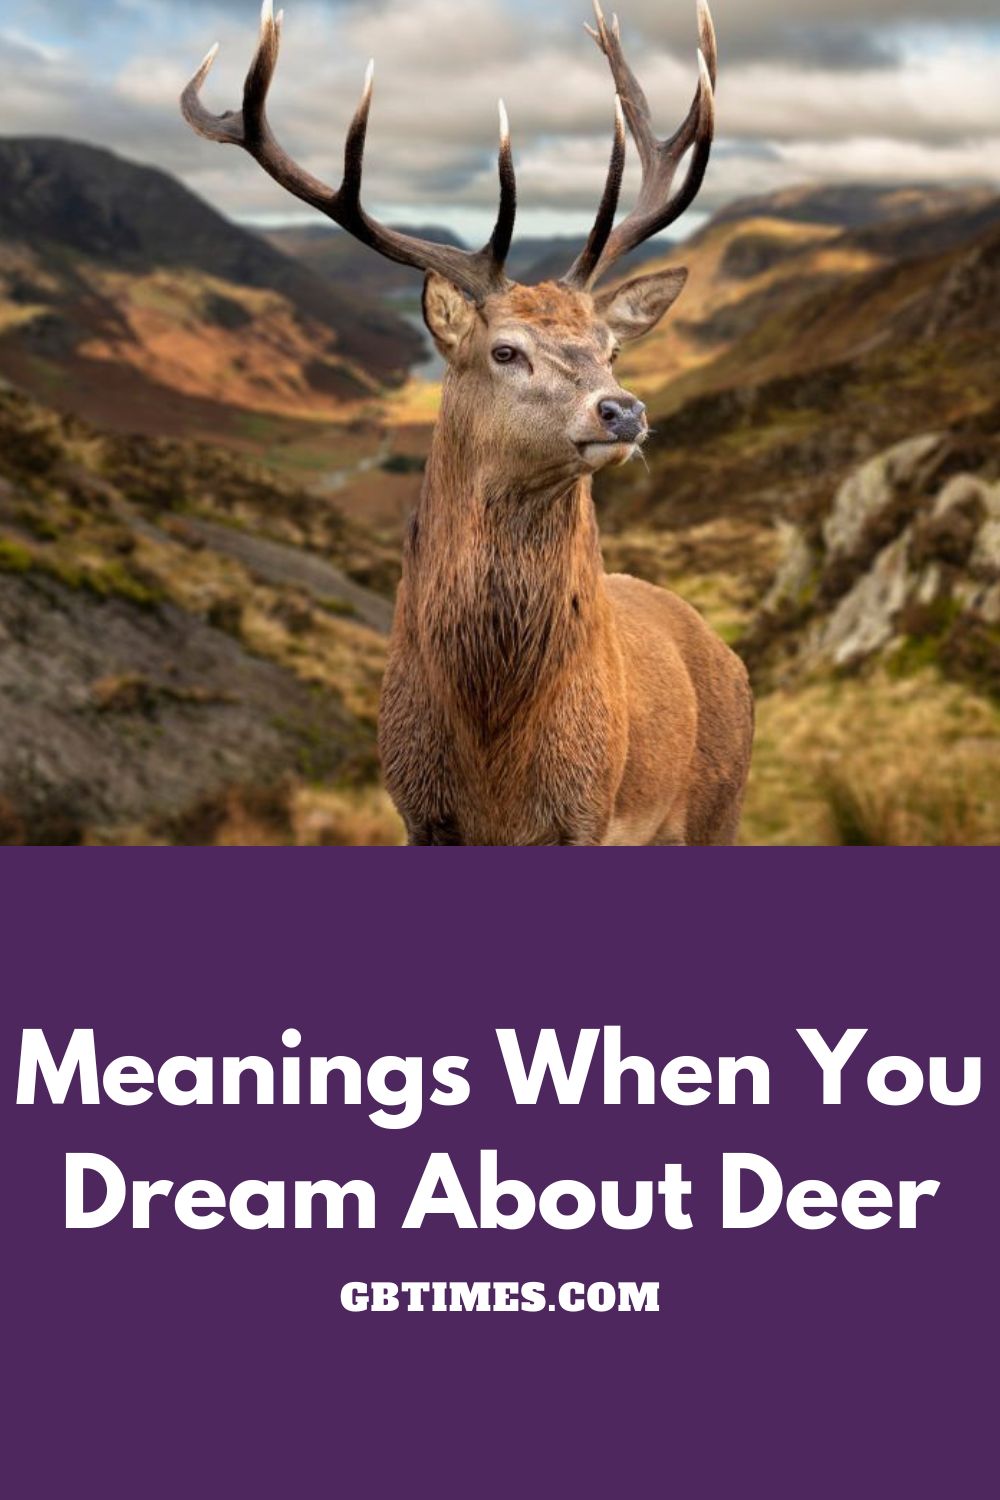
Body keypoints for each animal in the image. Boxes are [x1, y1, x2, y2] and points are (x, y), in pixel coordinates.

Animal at [183, 0, 753, 846]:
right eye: (505, 350)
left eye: (612, 347)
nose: (624, 409)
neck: (492, 757)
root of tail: (725, 652)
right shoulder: (417, 806)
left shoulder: (587, 810)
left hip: (720, 806)